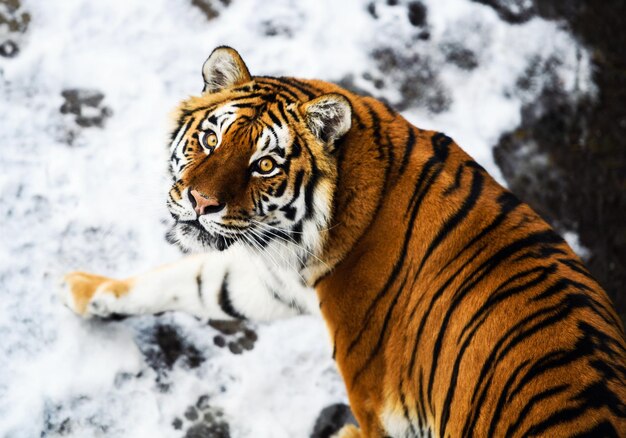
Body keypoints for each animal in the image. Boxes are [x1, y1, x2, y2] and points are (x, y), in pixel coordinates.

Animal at [61, 46, 624, 436]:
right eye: (211, 138)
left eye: (265, 165)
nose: (200, 202)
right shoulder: (273, 280)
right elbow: (196, 282)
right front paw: (86, 292)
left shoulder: (379, 410)